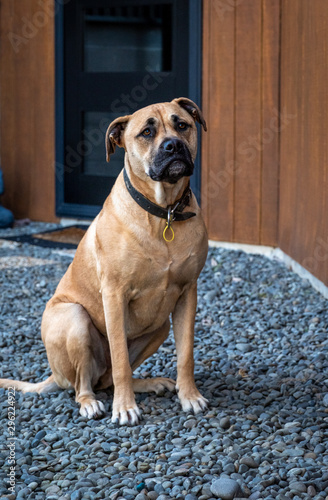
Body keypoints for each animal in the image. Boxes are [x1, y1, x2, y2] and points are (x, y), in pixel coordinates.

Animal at [0, 98, 208, 426]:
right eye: (146, 132)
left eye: (182, 125)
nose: (173, 145)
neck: (163, 211)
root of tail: (55, 375)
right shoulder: (114, 295)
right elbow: (120, 358)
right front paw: (124, 408)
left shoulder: (188, 293)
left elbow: (185, 354)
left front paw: (189, 395)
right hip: (74, 318)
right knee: (84, 384)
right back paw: (90, 403)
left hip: (160, 325)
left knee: (107, 378)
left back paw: (149, 384)